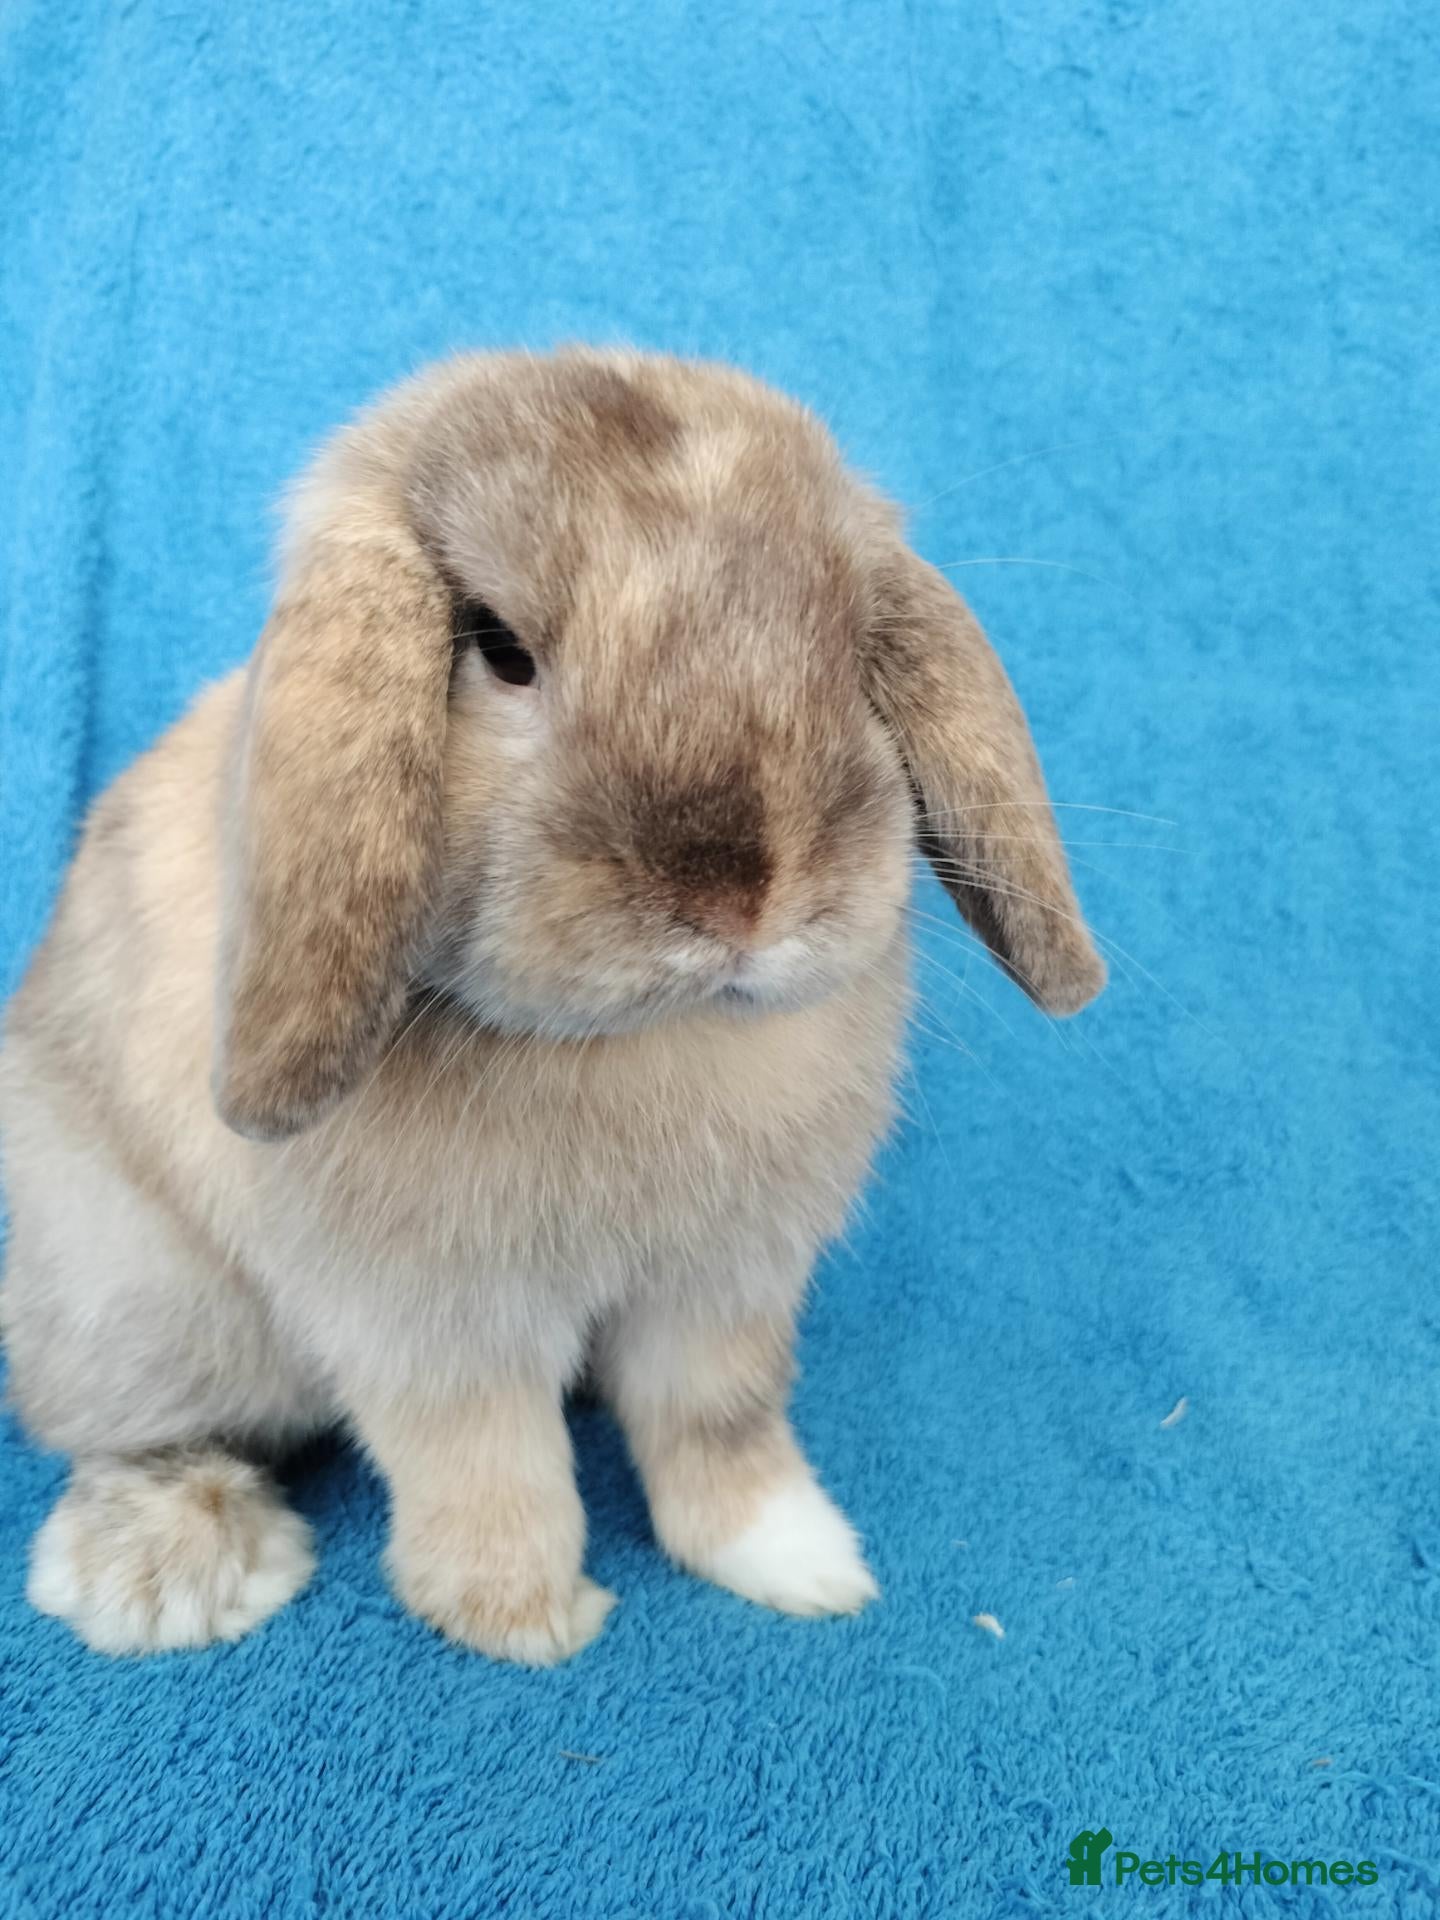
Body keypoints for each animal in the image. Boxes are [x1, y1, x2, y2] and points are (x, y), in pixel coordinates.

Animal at [0, 347, 1104, 1664]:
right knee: (124, 1433)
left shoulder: (726, 1288)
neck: (635, 1046)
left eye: (846, 652)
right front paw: (525, 1619)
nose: (739, 896)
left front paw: (798, 1563)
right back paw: (173, 1573)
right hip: (139, 1306)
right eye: (498, 646)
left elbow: (720, 1424)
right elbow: (488, 1468)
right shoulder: (436, 1324)